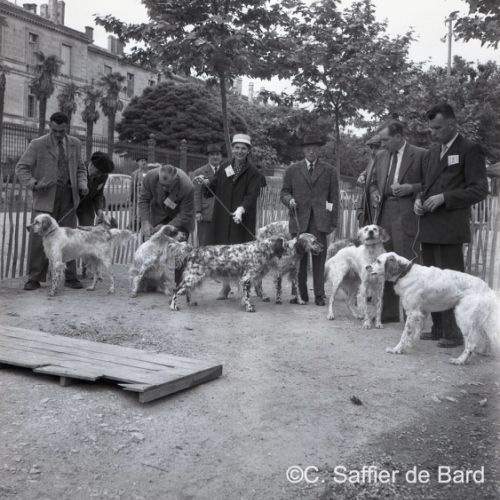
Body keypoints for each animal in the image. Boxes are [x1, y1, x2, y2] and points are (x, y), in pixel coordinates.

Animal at [367, 252, 500, 365]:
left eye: (378, 261)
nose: (367, 267)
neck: (406, 273)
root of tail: (487, 289)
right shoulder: (422, 312)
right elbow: (415, 332)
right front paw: (409, 344)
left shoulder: (412, 312)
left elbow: (405, 333)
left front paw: (397, 349)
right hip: (478, 321)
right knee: (485, 338)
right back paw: (484, 353)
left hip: (463, 318)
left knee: (471, 344)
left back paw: (460, 360)